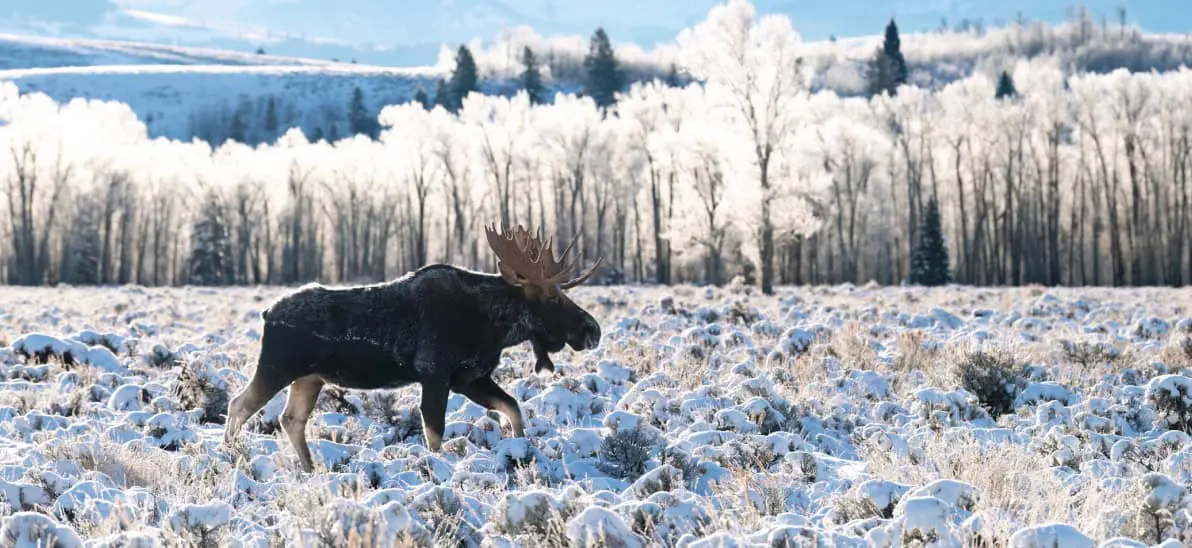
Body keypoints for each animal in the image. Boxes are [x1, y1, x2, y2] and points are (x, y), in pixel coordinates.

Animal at [222, 223, 603, 473]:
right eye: (553, 297)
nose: (593, 329)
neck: (492, 327)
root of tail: (266, 313)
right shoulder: (436, 373)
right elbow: (434, 431)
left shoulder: (469, 377)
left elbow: (513, 408)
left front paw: (521, 451)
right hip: (277, 366)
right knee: (238, 404)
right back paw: (230, 456)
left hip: (310, 377)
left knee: (291, 419)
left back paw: (310, 468)